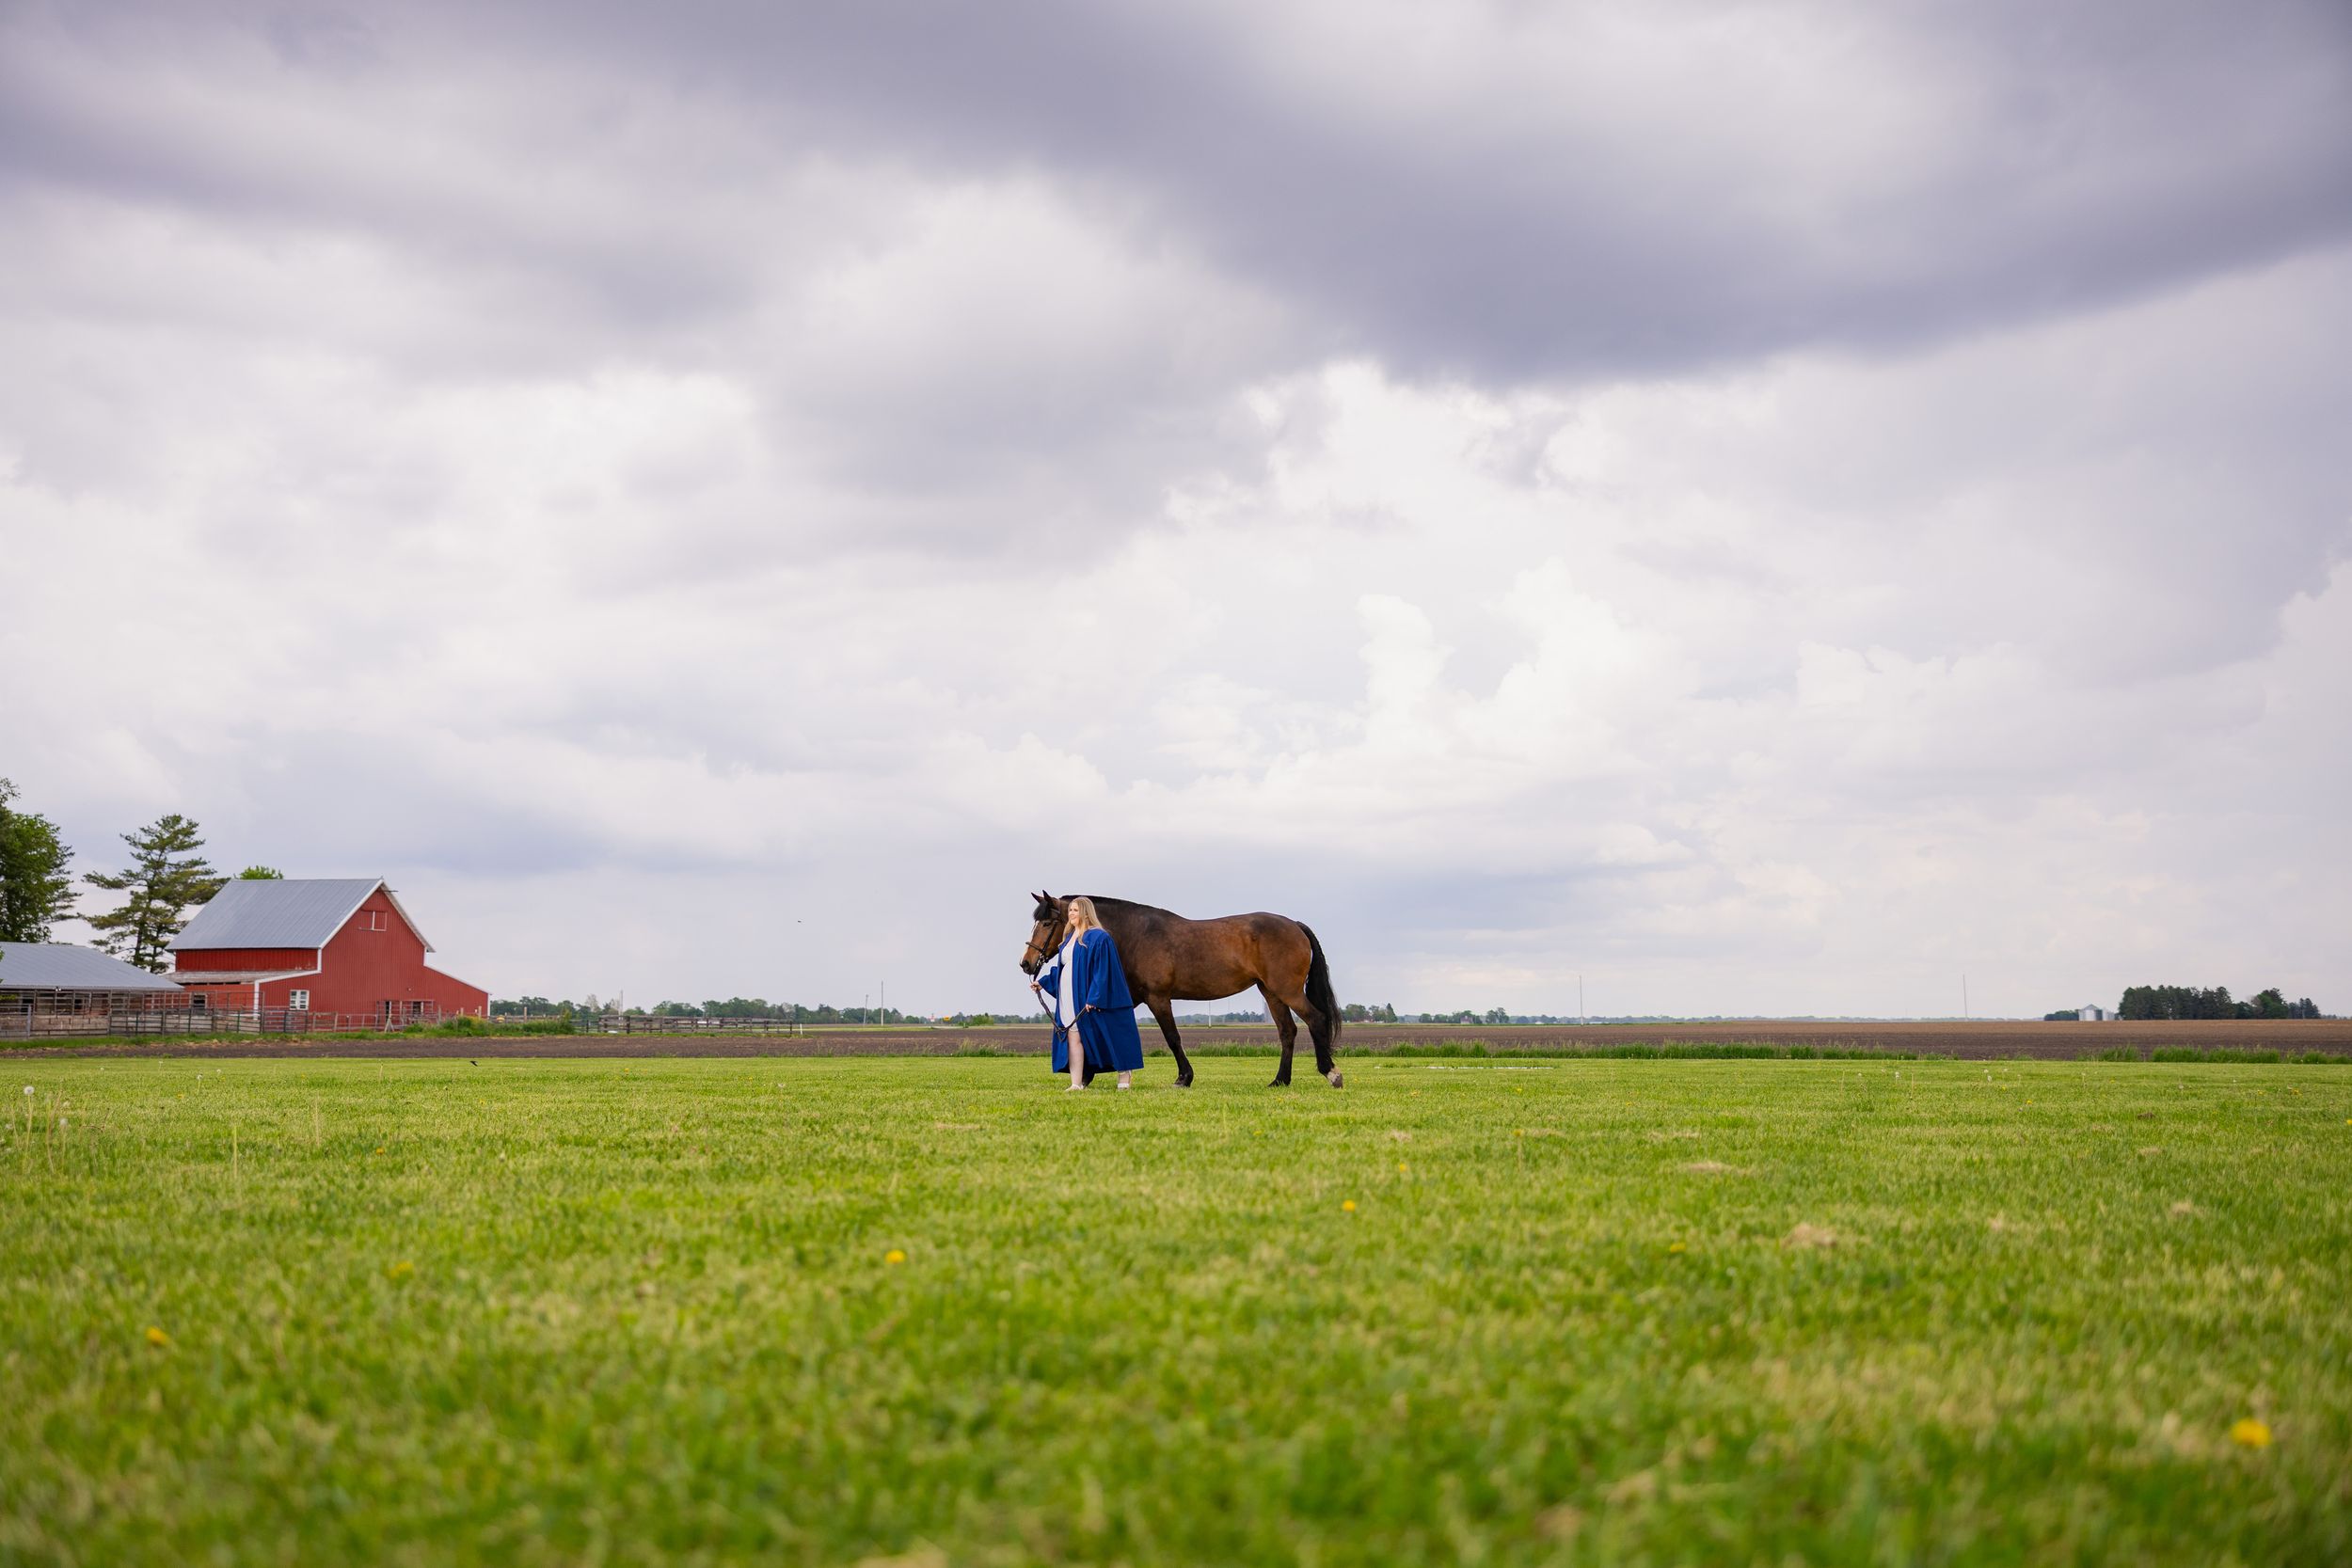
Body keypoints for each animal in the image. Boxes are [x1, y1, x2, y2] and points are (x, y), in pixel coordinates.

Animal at [1018, 892, 1343, 1089]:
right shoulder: (1130, 997)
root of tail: (1295, 925)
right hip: (1271, 992)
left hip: (1287, 990)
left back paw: (1330, 1072)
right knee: (1288, 1031)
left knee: (1315, 1019)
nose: (1026, 963)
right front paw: (1085, 1075)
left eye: (1046, 922)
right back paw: (1279, 1080)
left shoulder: (1158, 998)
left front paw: (1184, 1078)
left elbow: (1173, 1038)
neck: (1137, 935)